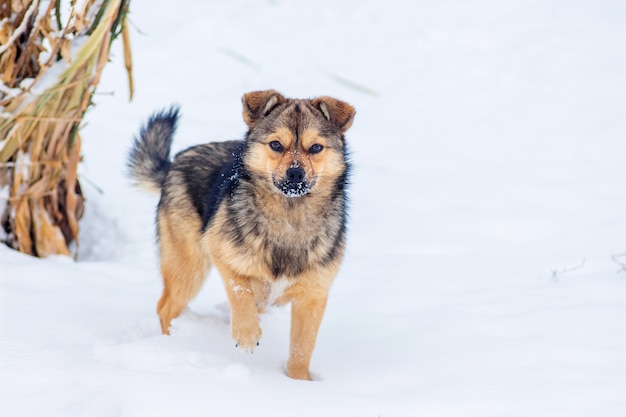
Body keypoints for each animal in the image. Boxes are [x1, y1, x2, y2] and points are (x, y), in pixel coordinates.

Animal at [125, 89, 356, 378]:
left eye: (315, 147)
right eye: (276, 145)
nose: (295, 174)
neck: (290, 218)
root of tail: (175, 162)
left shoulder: (313, 296)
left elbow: (302, 350)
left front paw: (297, 382)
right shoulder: (218, 249)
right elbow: (241, 290)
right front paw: (246, 334)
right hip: (189, 268)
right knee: (165, 307)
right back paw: (173, 343)